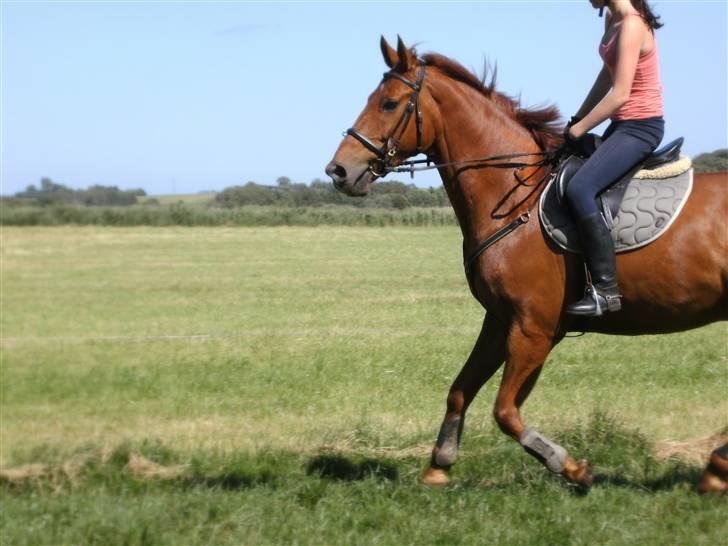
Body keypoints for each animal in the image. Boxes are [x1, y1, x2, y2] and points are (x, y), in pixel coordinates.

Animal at [326, 36, 728, 490]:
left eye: (390, 103)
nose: (338, 170)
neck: (514, 197)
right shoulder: (500, 321)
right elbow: (460, 390)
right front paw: (438, 465)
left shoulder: (534, 330)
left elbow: (505, 411)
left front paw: (570, 466)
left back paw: (716, 469)